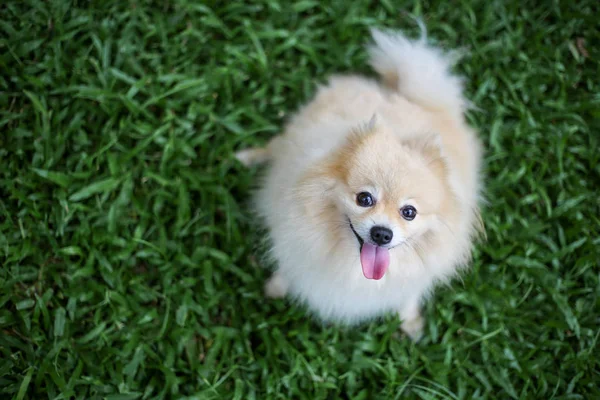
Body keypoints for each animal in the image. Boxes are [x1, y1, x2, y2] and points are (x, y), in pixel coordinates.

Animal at [234, 26, 482, 340]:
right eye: (364, 198)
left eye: (409, 212)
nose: (382, 233)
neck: (352, 267)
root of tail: (407, 94)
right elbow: (290, 267)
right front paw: (277, 288)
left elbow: (408, 295)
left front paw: (410, 322)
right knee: (274, 146)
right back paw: (247, 157)